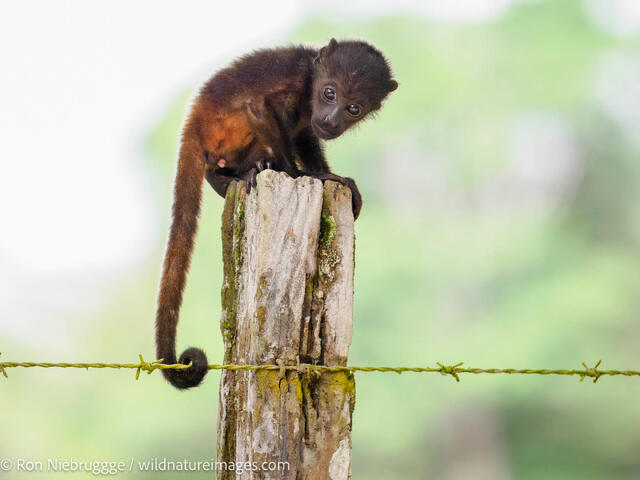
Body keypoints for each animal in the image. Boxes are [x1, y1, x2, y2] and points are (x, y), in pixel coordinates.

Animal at [156, 38, 397, 389]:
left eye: (354, 107)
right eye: (329, 93)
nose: (331, 118)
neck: (311, 77)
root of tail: (195, 121)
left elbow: (307, 136)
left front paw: (328, 174)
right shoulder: (294, 85)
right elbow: (261, 106)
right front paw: (302, 175)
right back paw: (247, 172)